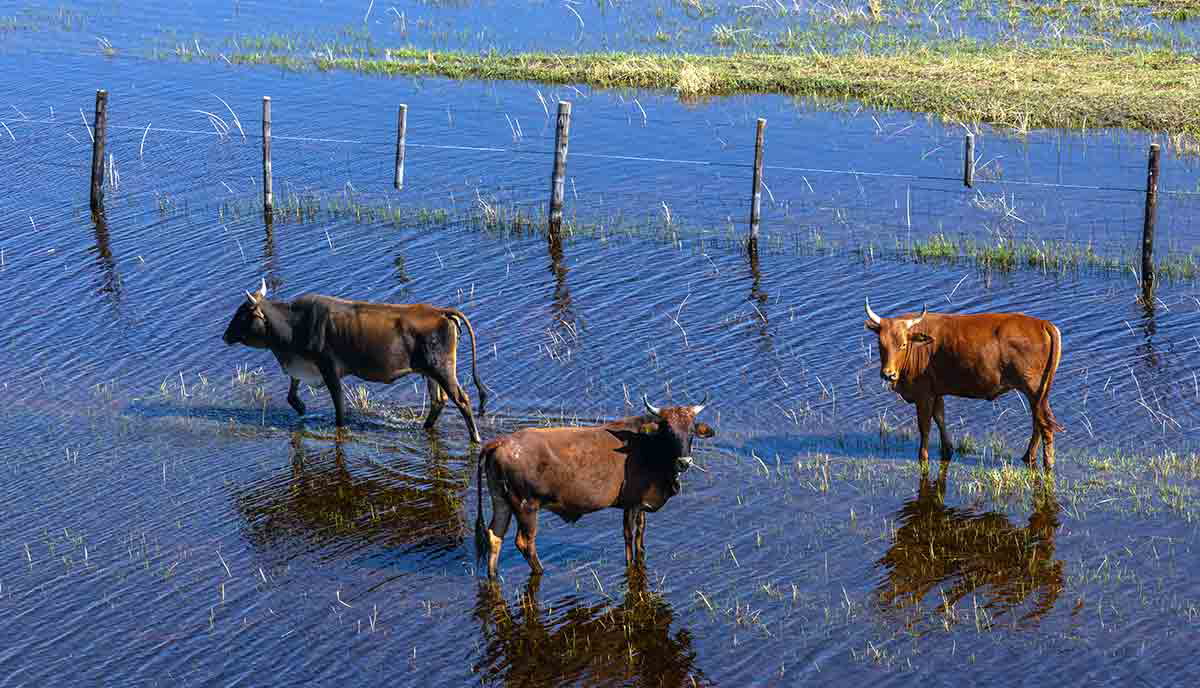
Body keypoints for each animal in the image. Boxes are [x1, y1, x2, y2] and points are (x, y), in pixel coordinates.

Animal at [222, 279, 488, 442]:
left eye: (242, 314)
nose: (225, 336)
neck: (294, 326)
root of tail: (440, 311)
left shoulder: (328, 368)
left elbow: (339, 405)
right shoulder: (302, 365)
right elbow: (291, 391)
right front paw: (301, 407)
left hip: (442, 369)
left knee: (462, 400)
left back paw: (475, 438)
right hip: (430, 372)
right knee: (438, 401)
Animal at [474, 395, 715, 579]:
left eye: (691, 431)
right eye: (668, 431)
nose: (684, 462)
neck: (647, 445)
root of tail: (501, 442)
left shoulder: (641, 505)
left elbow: (641, 535)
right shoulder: (631, 504)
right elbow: (629, 536)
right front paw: (630, 564)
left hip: (501, 501)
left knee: (495, 536)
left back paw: (493, 575)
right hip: (526, 507)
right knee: (525, 542)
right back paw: (540, 570)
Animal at [864, 298, 1063, 470]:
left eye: (903, 344)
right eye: (880, 343)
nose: (888, 374)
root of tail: (1042, 323)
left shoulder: (924, 394)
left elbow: (925, 426)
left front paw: (923, 456)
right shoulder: (936, 391)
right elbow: (940, 418)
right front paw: (947, 448)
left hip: (1033, 389)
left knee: (1044, 425)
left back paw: (1048, 463)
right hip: (1039, 395)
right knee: (1038, 422)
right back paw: (1028, 456)